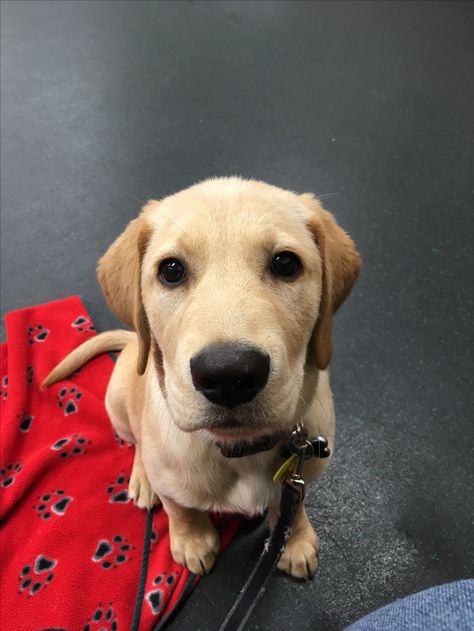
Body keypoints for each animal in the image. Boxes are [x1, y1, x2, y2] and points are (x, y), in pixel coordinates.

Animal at [45, 177, 362, 576]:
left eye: (286, 263)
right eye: (171, 270)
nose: (229, 376)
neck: (239, 449)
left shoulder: (302, 470)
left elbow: (293, 500)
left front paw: (296, 538)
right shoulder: (172, 479)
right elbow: (179, 507)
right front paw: (192, 541)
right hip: (117, 404)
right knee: (137, 443)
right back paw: (143, 478)